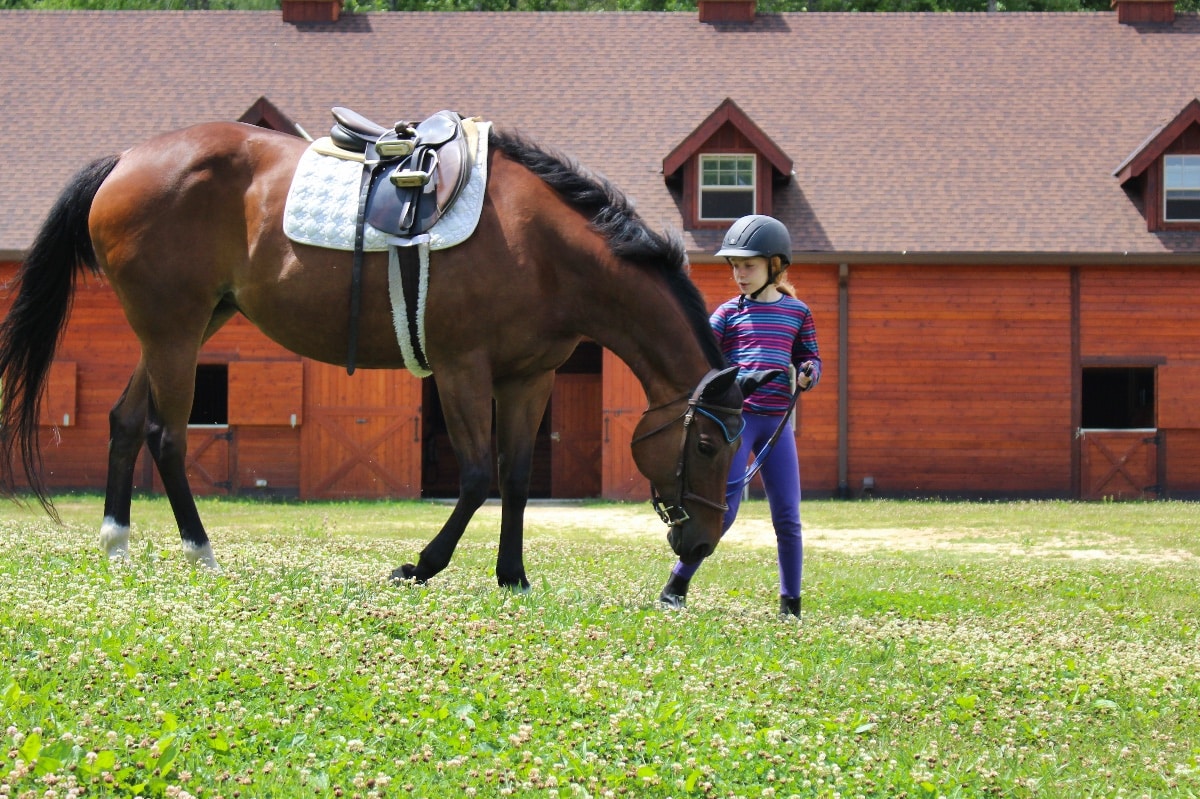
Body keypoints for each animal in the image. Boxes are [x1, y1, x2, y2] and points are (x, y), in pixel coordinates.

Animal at [0, 119, 744, 590]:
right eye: (708, 445)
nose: (704, 543)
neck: (542, 247)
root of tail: (126, 159)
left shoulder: (529, 378)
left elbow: (516, 478)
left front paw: (513, 575)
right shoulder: (461, 366)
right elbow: (477, 476)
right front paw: (421, 565)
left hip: (181, 328)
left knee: (126, 422)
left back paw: (117, 540)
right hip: (176, 330)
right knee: (167, 436)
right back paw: (200, 551)